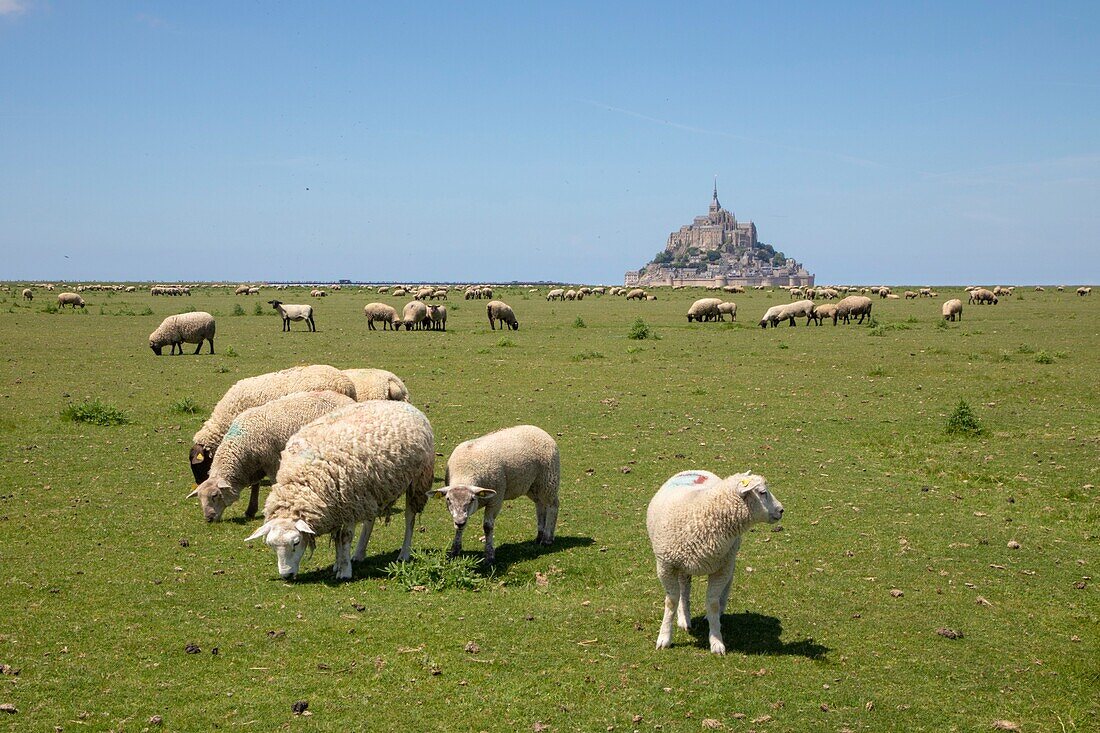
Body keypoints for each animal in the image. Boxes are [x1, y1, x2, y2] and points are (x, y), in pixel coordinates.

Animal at [189, 387, 356, 519]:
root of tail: (349, 400)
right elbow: (255, 486)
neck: (241, 445)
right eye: (200, 498)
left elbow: (275, 483)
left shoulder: (272, 461)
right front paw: (250, 510)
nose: (209, 518)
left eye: (215, 495)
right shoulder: (254, 465)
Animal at [247, 396, 435, 581]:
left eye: (296, 542)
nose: (286, 575)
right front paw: (338, 564)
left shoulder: (349, 501)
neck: (303, 481)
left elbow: (344, 538)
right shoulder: (337, 506)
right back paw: (359, 553)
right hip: (371, 490)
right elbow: (337, 538)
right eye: (271, 545)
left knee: (410, 518)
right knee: (370, 520)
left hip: (417, 481)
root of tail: (401, 404)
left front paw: (344, 571)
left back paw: (404, 553)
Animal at [431, 422, 563, 563]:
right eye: (448, 499)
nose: (460, 522)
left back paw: (547, 539)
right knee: (540, 505)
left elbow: (487, 527)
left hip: (548, 479)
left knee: (553, 505)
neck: (465, 472)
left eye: (472, 499)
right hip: (534, 485)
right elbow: (459, 527)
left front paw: (489, 555)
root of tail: (538, 429)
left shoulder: (496, 499)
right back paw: (540, 536)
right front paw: (455, 550)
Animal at [646, 468, 787, 651]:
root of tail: (695, 469)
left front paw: (716, 640)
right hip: (683, 564)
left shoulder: (721, 569)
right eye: (763, 492)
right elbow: (671, 601)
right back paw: (684, 618)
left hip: (729, 558)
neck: (701, 513)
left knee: (726, 585)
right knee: (684, 588)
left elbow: (712, 603)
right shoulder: (665, 566)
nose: (781, 510)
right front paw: (664, 638)